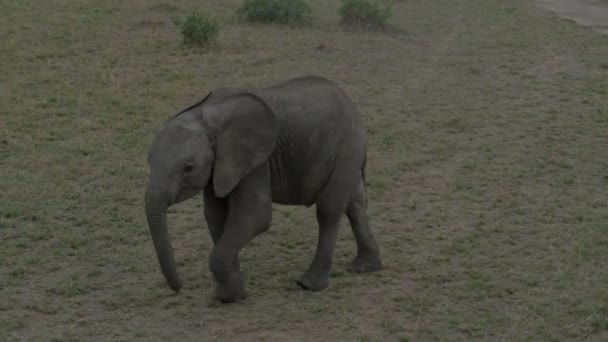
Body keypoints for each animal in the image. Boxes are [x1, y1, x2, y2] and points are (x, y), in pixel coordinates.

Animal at [145, 74, 382, 302]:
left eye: (189, 168)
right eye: (148, 161)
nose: (179, 288)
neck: (206, 115)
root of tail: (350, 103)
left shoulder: (255, 160)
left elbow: (255, 216)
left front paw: (229, 297)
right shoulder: (220, 167)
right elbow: (216, 215)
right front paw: (232, 294)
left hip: (347, 146)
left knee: (329, 209)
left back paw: (309, 284)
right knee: (354, 203)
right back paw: (365, 267)